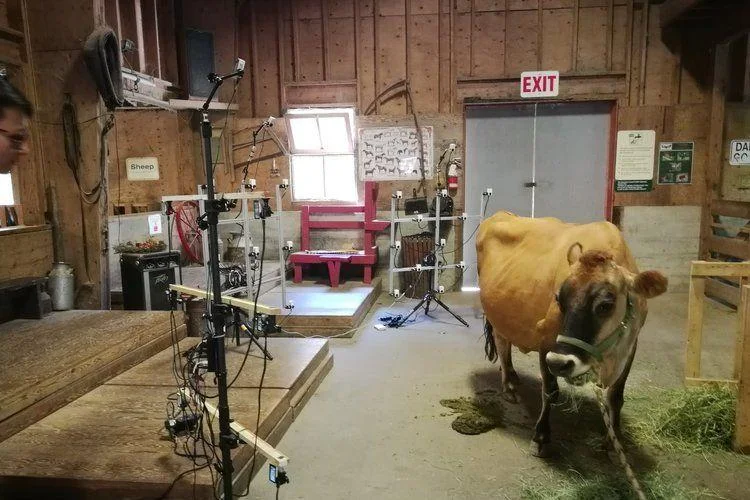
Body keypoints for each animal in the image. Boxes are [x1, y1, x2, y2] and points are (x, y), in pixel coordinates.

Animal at [476, 211, 667, 457]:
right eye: (559, 299)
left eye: (606, 305)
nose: (561, 362)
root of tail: (502, 213)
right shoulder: (547, 338)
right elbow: (550, 390)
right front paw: (540, 437)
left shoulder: (632, 344)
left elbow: (616, 396)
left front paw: (613, 440)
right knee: (502, 343)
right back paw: (509, 385)